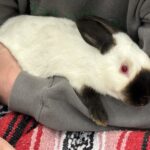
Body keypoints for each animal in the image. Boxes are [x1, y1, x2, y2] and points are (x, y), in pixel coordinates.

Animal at [0, 14, 150, 125]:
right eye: (124, 68)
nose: (145, 100)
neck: (97, 62)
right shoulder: (78, 79)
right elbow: (90, 95)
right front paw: (100, 118)